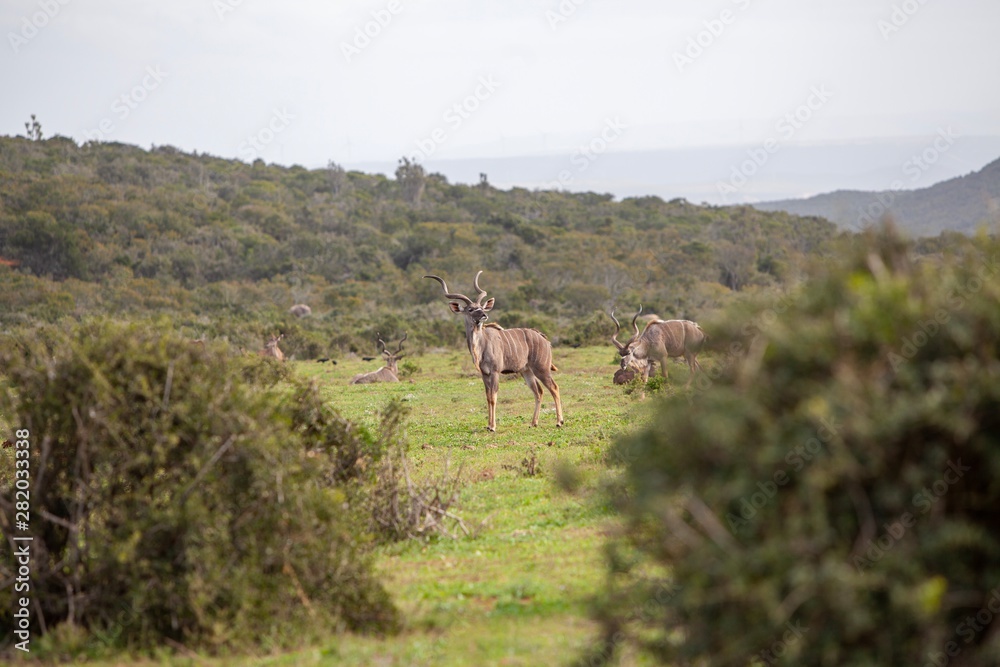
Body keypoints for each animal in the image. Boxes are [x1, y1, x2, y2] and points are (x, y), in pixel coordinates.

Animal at [425, 271, 563, 432]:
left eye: (481, 307)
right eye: (470, 309)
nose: (484, 315)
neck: (481, 346)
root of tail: (544, 339)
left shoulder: (495, 372)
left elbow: (493, 396)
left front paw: (492, 426)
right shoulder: (485, 374)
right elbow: (488, 396)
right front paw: (488, 425)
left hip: (541, 369)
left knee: (554, 387)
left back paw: (559, 422)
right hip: (527, 371)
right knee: (539, 391)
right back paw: (533, 423)